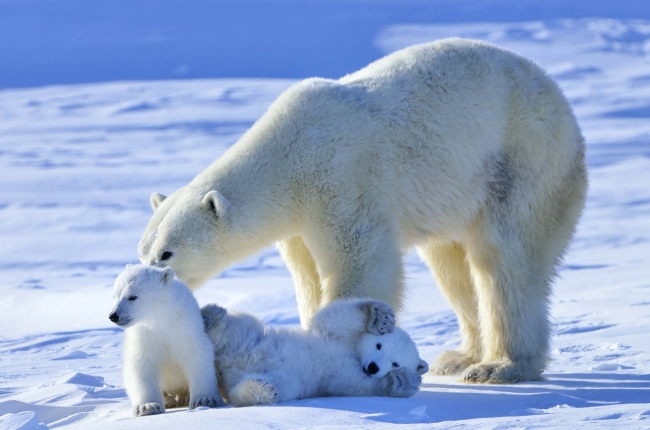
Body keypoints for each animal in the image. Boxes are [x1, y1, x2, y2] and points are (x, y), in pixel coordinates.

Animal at [139, 38, 584, 384]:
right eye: (143, 252)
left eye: (167, 253)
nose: (139, 293)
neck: (289, 155)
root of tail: (560, 99)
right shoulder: (297, 225)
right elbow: (307, 277)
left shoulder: (341, 181)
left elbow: (361, 263)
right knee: (451, 266)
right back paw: (460, 357)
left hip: (521, 165)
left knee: (505, 262)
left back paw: (500, 366)